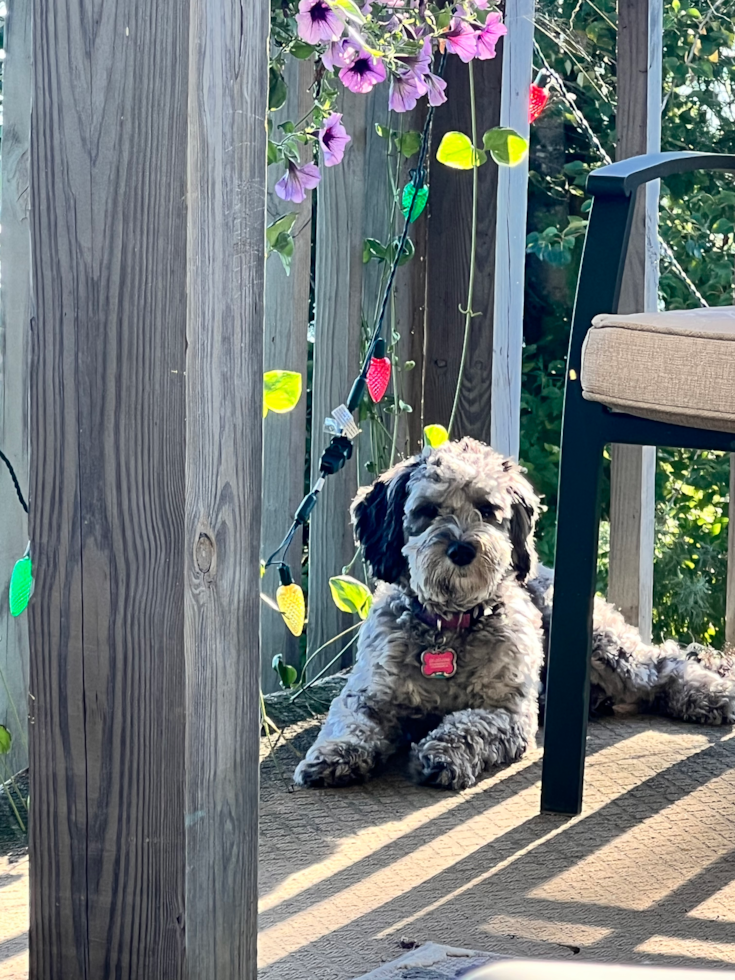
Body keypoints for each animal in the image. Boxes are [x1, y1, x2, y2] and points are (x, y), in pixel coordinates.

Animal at [294, 436, 735, 788]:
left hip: (606, 647)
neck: (450, 625)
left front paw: (442, 753)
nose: (462, 549)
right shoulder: (367, 693)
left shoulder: (507, 711)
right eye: (428, 510)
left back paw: (714, 696)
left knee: (666, 667)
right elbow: (351, 720)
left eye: (488, 509)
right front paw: (335, 754)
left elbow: (468, 725)